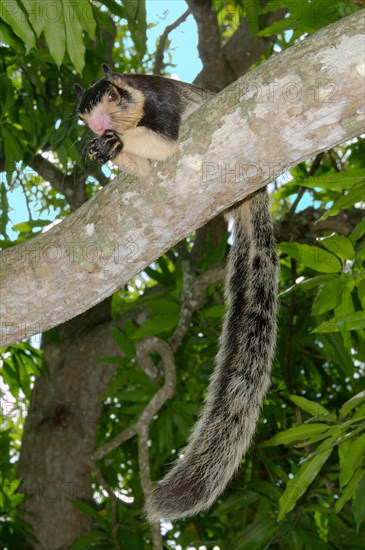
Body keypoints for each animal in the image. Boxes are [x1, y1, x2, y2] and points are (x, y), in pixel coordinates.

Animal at [75, 64, 278, 520]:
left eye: (113, 97)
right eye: (81, 114)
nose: (97, 127)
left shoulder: (163, 107)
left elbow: (167, 146)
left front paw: (115, 143)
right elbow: (140, 169)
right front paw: (102, 149)